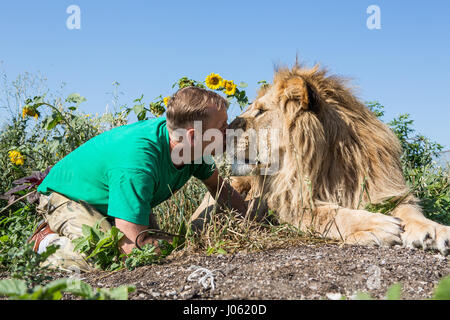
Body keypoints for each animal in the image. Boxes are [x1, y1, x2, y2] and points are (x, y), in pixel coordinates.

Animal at [191, 62, 450, 255]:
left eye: (261, 111)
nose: (225, 131)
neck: (327, 163)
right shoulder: (283, 206)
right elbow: (331, 214)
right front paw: (377, 225)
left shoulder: (383, 191)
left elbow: (410, 211)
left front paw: (436, 231)